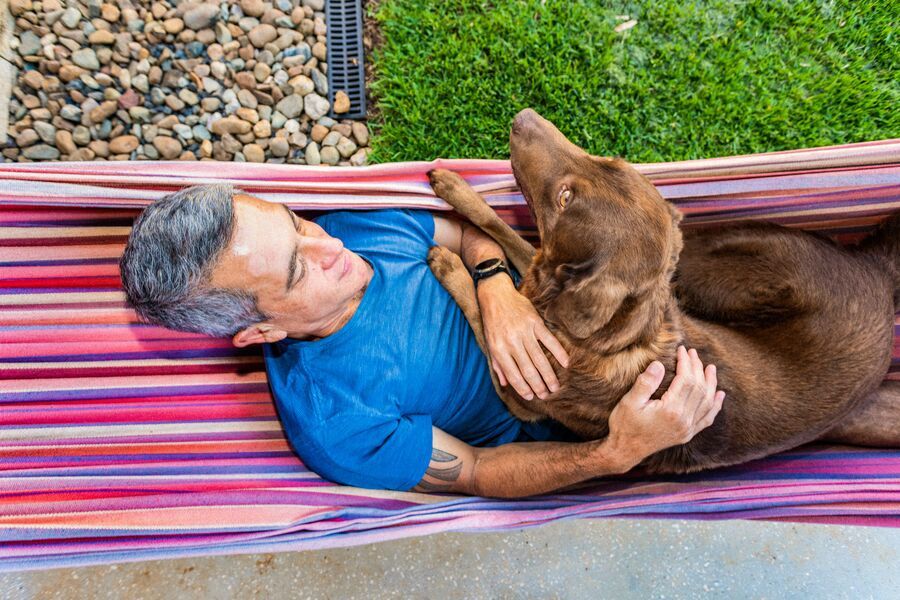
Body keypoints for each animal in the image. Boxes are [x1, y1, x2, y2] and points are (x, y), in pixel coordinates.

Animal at [426, 108, 900, 474]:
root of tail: (876, 272)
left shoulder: (517, 391)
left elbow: (484, 314)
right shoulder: (542, 273)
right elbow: (503, 229)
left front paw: (450, 265)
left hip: (713, 264)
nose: (524, 117)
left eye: (564, 198)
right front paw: (457, 188)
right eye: (609, 159)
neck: (610, 340)